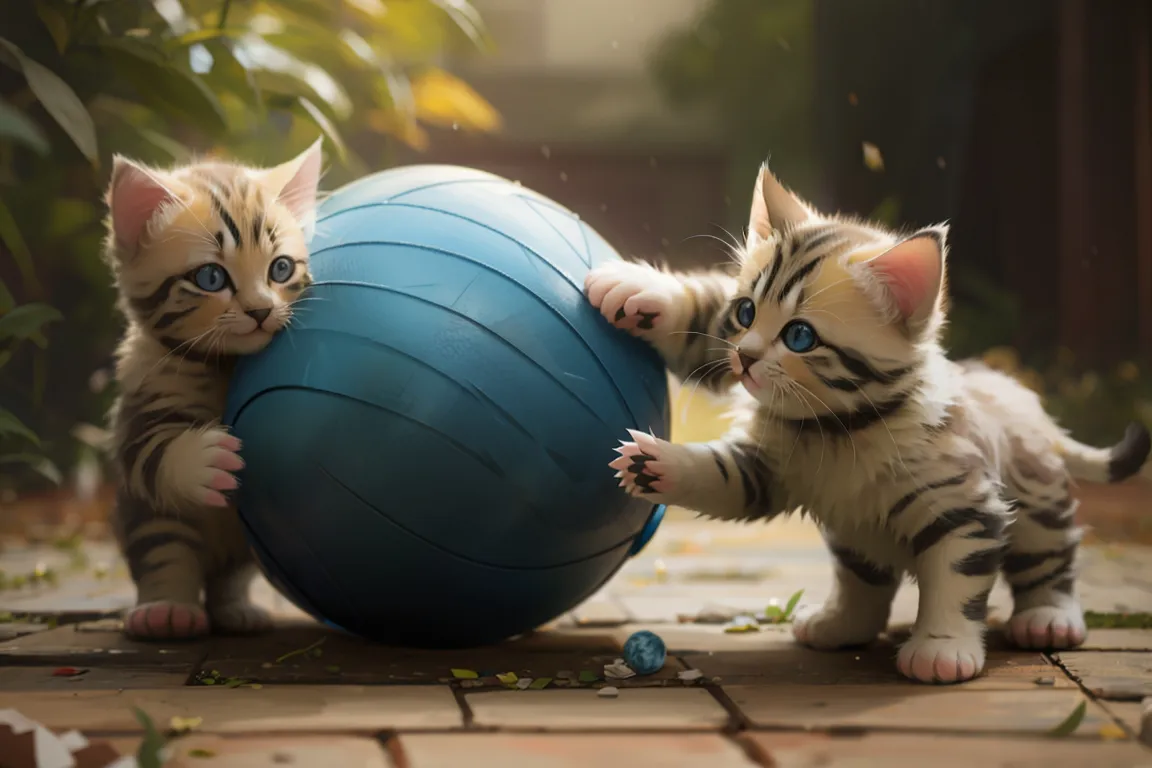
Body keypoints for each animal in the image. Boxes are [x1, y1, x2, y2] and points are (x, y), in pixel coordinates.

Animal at [103, 141, 322, 640]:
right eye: (210, 278)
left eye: (281, 268)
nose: (261, 311)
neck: (222, 365)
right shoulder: (137, 416)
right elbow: (154, 455)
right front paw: (205, 457)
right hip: (146, 518)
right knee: (165, 554)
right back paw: (166, 610)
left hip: (244, 544)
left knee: (229, 575)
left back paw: (235, 609)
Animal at [589, 163, 1147, 686]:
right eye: (745, 312)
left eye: (799, 336)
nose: (744, 358)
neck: (838, 429)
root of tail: (1021, 395)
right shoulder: (765, 472)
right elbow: (716, 473)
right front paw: (645, 301)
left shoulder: (963, 507)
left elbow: (955, 578)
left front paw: (943, 648)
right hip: (856, 534)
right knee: (866, 583)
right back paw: (841, 625)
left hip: (1035, 501)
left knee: (1051, 558)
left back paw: (1048, 618)